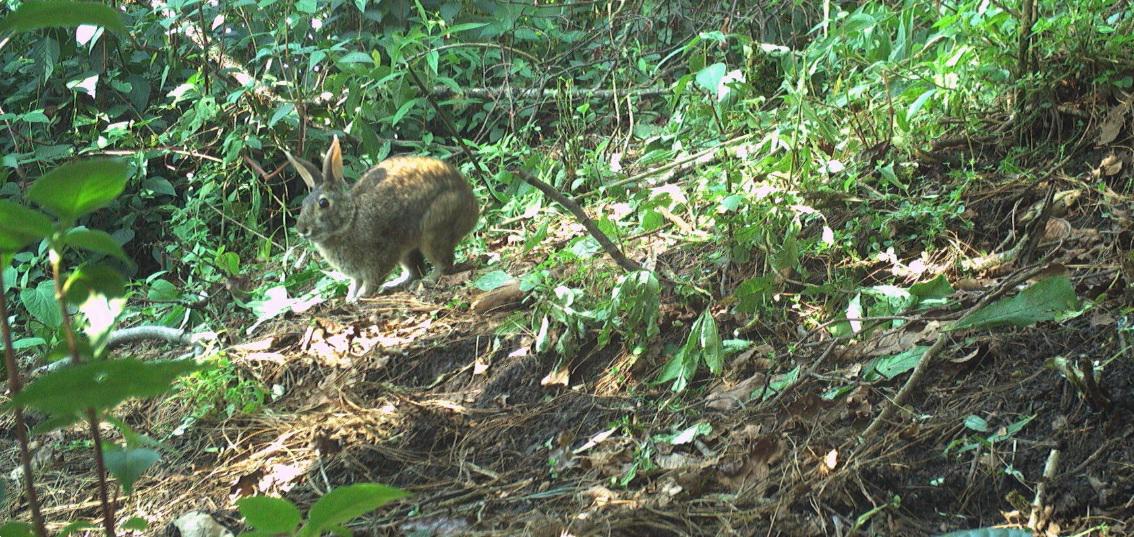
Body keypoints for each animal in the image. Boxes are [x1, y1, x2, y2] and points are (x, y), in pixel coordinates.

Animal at [284, 135, 479, 302]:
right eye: (304, 203)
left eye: (323, 203)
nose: (302, 229)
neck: (351, 219)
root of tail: (472, 207)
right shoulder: (358, 273)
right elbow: (355, 283)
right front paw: (350, 297)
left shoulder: (379, 257)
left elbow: (372, 280)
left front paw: (361, 296)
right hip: (407, 249)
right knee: (415, 270)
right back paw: (394, 285)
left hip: (434, 230)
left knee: (443, 263)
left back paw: (427, 281)